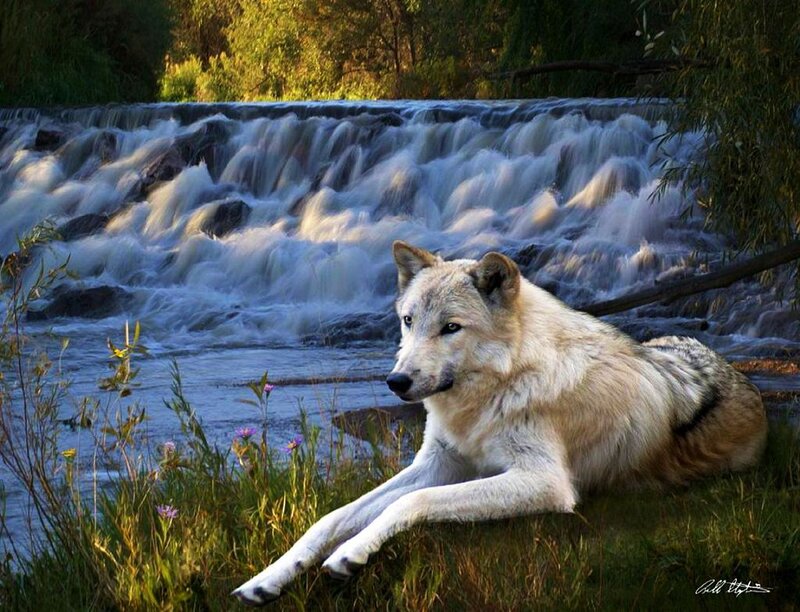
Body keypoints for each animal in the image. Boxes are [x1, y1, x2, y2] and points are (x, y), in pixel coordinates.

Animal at [233, 241, 767, 605]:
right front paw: (266, 580)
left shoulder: (546, 482)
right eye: (408, 321)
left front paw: (353, 553)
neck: (498, 387)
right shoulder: (438, 463)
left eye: (451, 327)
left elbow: (414, 502)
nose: (396, 381)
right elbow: (332, 517)